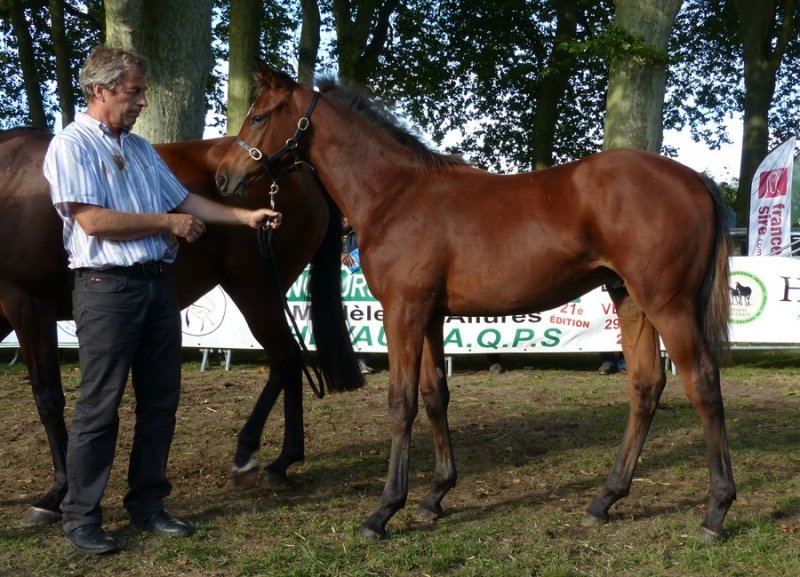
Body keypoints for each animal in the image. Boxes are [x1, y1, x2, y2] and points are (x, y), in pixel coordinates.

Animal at [214, 62, 736, 542]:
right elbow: (434, 396)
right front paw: (435, 496)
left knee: (703, 384)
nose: (223, 179)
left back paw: (716, 512)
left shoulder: (403, 313)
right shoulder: (428, 316)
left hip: (667, 303)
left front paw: (384, 510)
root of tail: (696, 179)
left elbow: (401, 402)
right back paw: (604, 500)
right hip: (631, 301)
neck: (395, 195)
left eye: (258, 116)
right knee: (646, 387)